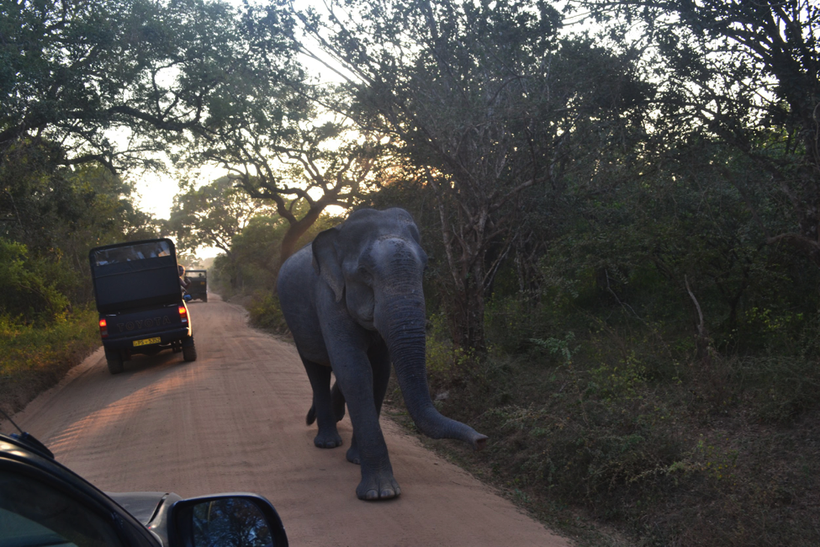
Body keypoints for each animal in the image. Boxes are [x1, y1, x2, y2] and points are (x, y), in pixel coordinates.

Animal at [276, 207, 486, 500]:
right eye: (364, 272)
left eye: (425, 268)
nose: (481, 440)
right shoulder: (327, 296)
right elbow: (354, 369)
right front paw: (381, 493)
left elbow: (380, 371)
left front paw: (356, 460)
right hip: (295, 322)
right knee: (316, 369)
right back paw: (327, 442)